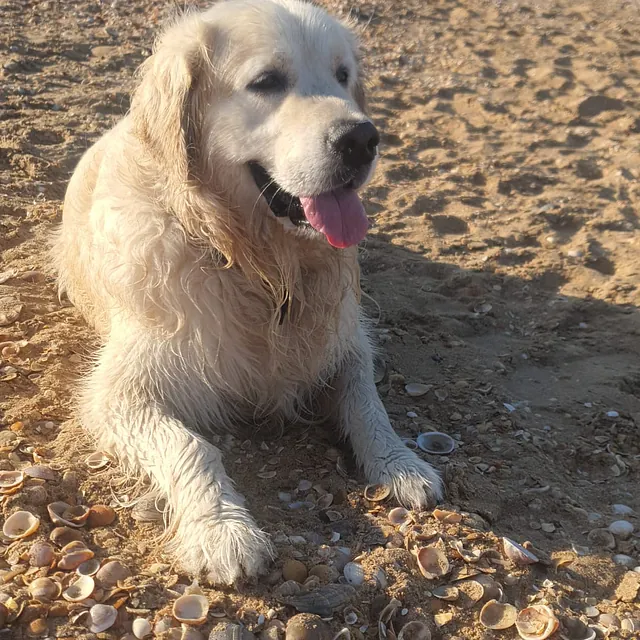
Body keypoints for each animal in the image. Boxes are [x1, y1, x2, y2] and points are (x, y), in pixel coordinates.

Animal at [55, 0, 442, 584]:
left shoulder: (344, 337)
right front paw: (222, 533)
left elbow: (366, 400)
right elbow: (191, 446)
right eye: (266, 82)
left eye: (343, 76)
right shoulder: (120, 391)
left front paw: (402, 464)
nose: (361, 139)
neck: (256, 260)